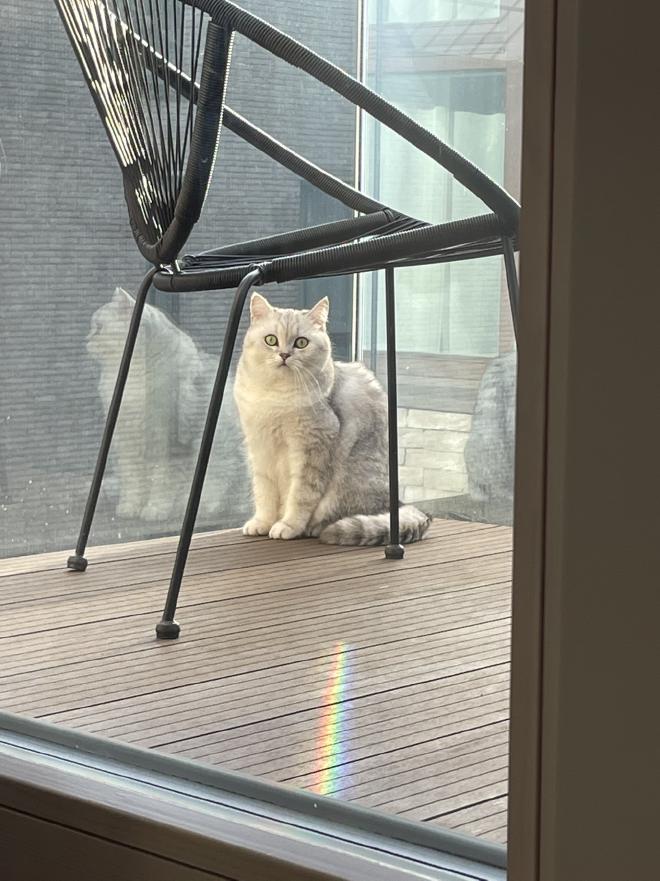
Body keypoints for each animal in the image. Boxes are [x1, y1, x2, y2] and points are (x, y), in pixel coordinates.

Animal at [87, 288, 250, 524]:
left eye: (98, 327)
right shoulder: (126, 440)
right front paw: (130, 507)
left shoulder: (164, 439)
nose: (86, 339)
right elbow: (132, 481)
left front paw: (155, 509)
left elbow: (161, 481)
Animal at [235, 292, 430, 544]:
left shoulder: (312, 447)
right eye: (271, 340)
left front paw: (288, 525)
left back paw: (313, 528)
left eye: (301, 342)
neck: (275, 396)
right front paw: (262, 522)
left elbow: (300, 495)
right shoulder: (261, 448)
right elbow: (264, 493)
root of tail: (395, 503)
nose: (284, 355)